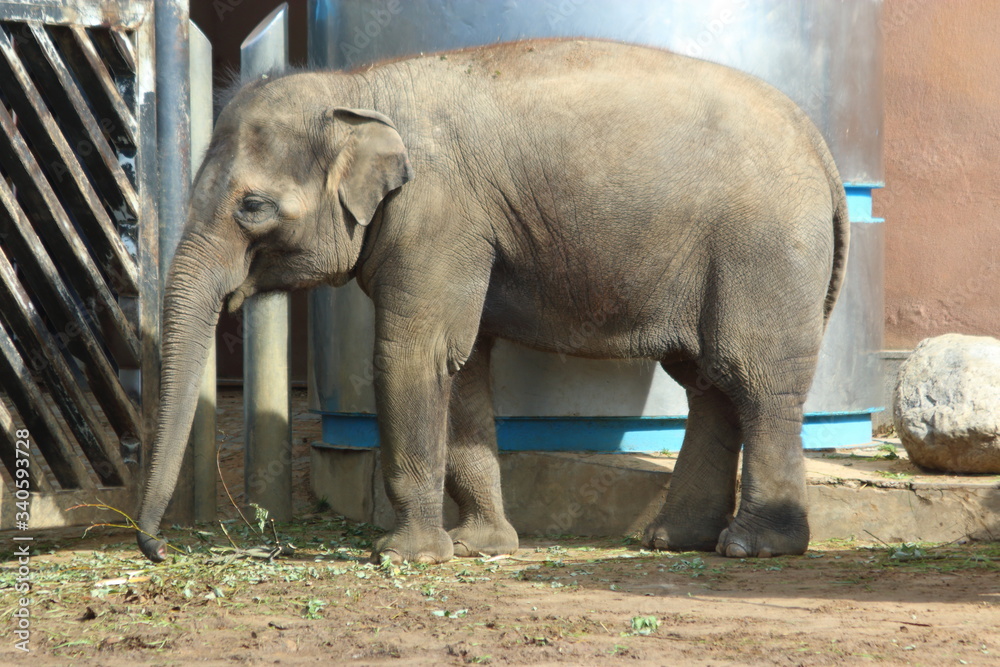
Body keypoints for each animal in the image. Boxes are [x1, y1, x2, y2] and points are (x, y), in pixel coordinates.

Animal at [136, 39, 848, 564]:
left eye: (253, 207)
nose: (156, 548)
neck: (359, 89)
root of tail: (824, 151)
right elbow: (463, 363)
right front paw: (482, 546)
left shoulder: (436, 212)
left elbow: (413, 355)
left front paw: (407, 556)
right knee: (707, 383)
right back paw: (675, 541)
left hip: (762, 249)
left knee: (754, 378)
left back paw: (755, 547)